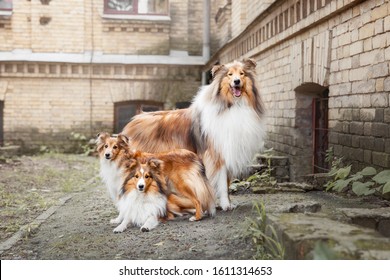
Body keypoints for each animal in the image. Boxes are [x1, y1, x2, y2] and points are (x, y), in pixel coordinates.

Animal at [122, 58, 266, 210]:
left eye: (242, 73)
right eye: (230, 74)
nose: (237, 81)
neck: (233, 105)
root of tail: (134, 120)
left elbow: (226, 184)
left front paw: (227, 203)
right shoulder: (216, 156)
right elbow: (221, 183)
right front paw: (226, 205)